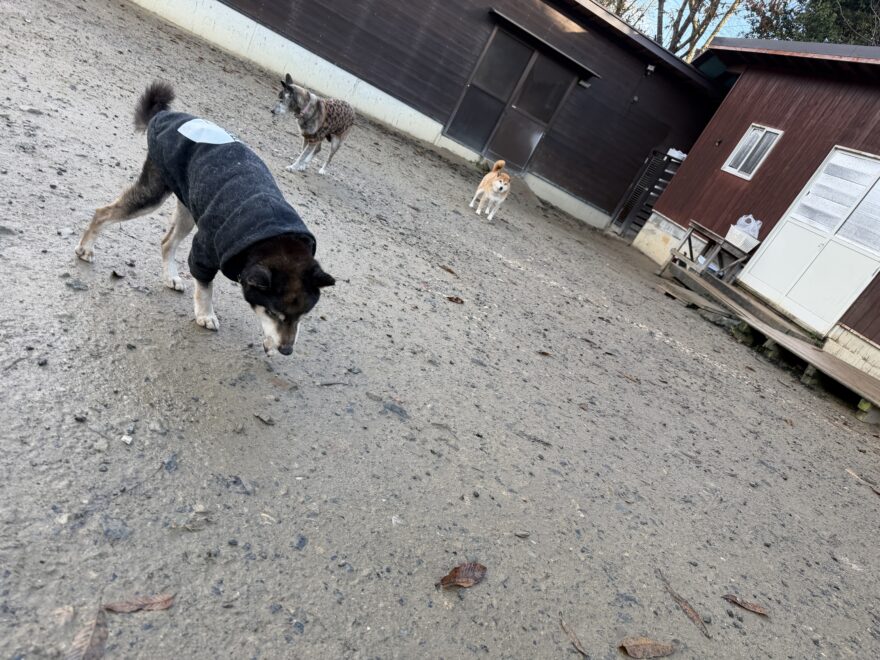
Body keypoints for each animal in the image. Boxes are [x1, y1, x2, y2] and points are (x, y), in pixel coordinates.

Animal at [75, 81, 335, 356]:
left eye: (302, 316)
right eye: (274, 312)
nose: (286, 350)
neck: (271, 236)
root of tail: (164, 114)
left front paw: (269, 340)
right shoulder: (205, 249)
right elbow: (205, 287)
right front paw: (205, 314)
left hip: (188, 208)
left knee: (167, 242)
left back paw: (169, 277)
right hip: (153, 193)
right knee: (103, 212)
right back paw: (85, 249)